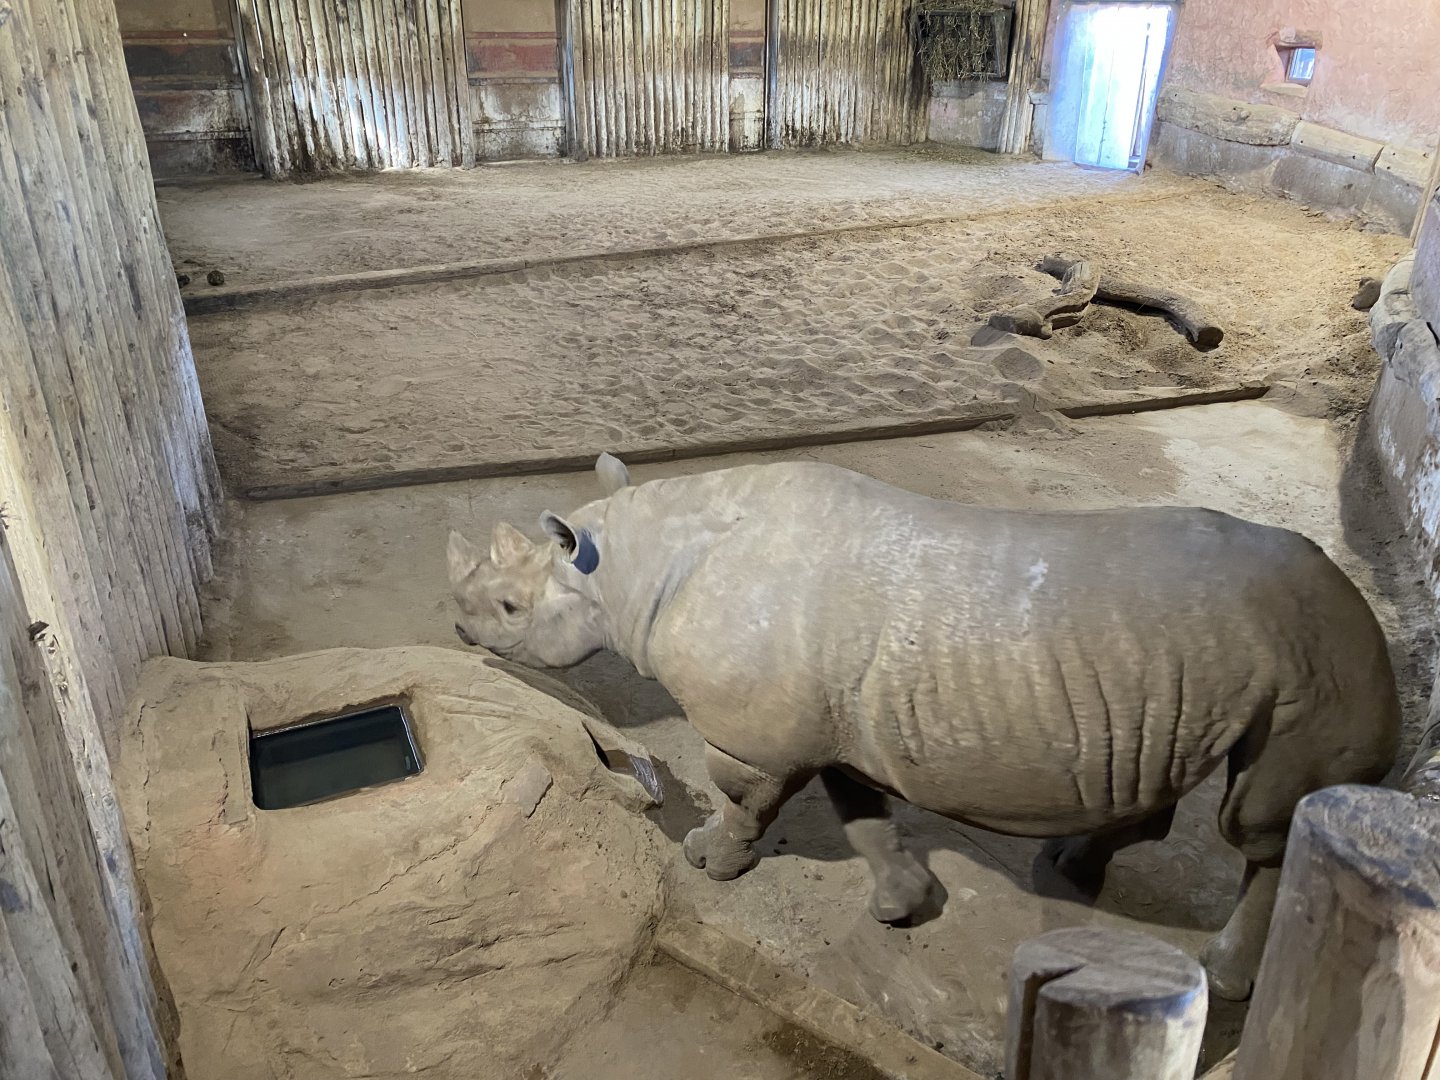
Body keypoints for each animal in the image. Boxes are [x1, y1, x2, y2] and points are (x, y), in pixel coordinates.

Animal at [447, 454, 1399, 999]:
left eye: (511, 607)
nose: (457, 630)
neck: (631, 569)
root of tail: (1369, 624)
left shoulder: (754, 741)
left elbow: (743, 801)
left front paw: (708, 863)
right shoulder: (833, 720)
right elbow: (863, 813)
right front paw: (900, 907)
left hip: (1322, 668)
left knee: (1261, 827)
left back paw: (1225, 979)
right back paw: (1073, 865)